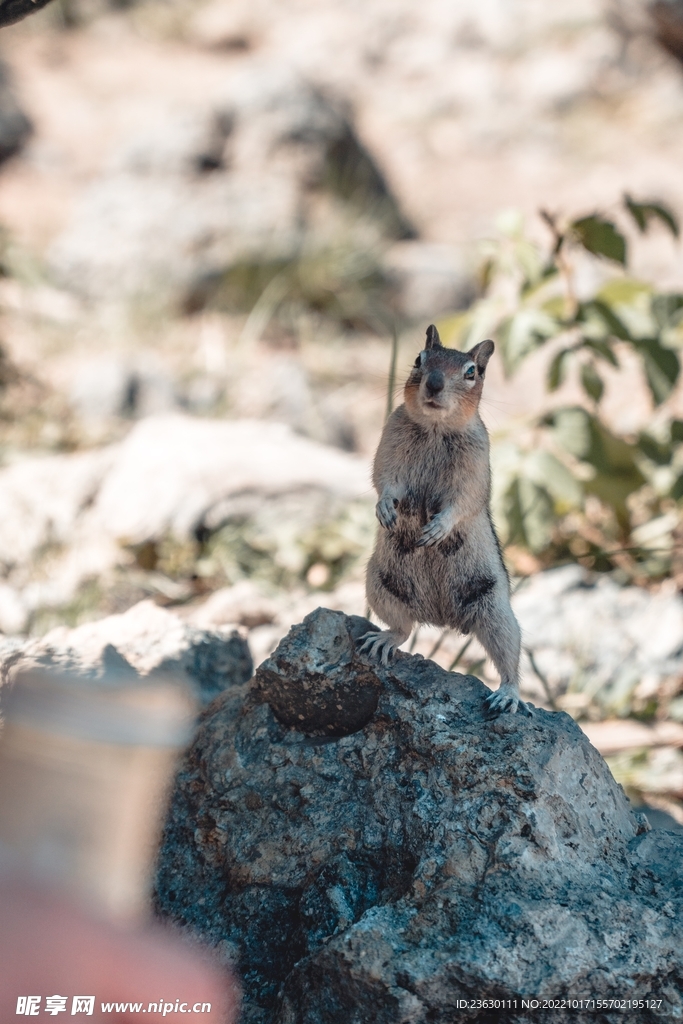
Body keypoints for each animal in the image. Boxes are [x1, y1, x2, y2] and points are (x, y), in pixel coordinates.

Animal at [360, 323, 532, 716]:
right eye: (418, 359)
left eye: (472, 372)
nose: (435, 384)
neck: (435, 428)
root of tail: (442, 618)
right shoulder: (389, 445)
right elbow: (383, 479)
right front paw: (385, 508)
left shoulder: (475, 465)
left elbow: (464, 501)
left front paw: (438, 528)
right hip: (380, 586)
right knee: (403, 628)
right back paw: (384, 640)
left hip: (496, 612)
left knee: (509, 656)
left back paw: (508, 695)